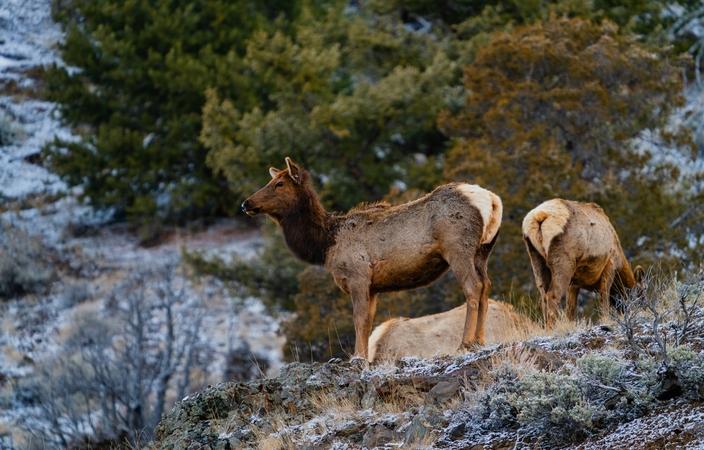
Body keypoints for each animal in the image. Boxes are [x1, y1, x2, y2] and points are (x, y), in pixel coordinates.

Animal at [242, 157, 500, 358]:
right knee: (486, 285)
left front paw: (358, 357)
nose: (246, 203)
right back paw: (480, 340)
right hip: (483, 251)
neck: (325, 244)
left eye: (279, 183)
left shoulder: (358, 276)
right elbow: (369, 321)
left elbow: (359, 320)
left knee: (473, 286)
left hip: (458, 248)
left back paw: (465, 342)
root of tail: (492, 201)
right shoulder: (374, 286)